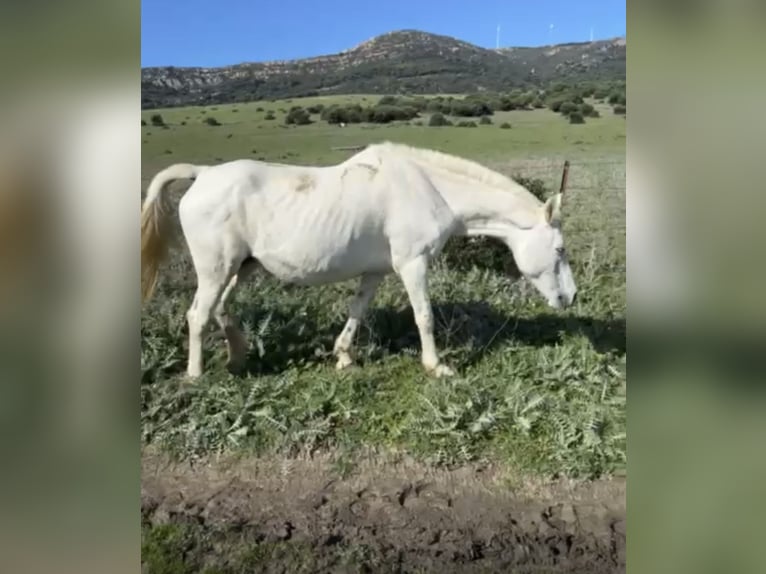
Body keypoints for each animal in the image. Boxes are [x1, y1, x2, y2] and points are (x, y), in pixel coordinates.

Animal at [141, 142, 580, 380]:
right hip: (215, 269)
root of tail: (202, 174)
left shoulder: (376, 271)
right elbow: (424, 316)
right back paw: (196, 374)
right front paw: (436, 366)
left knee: (221, 309)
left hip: (241, 267)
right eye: (559, 250)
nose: (571, 297)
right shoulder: (413, 264)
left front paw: (344, 357)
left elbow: (357, 311)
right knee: (198, 315)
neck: (430, 188)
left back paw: (238, 358)